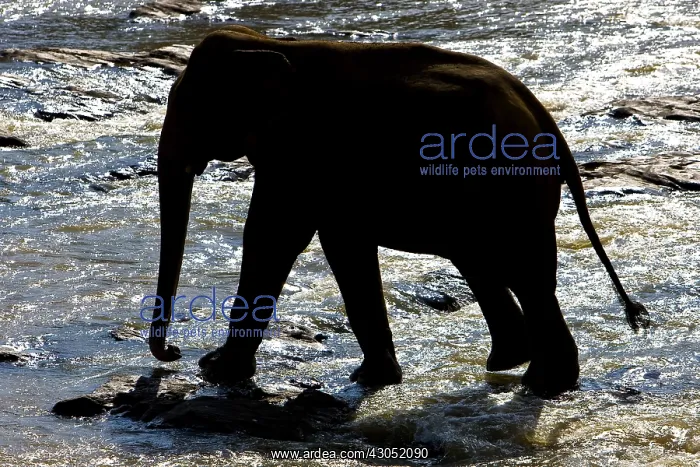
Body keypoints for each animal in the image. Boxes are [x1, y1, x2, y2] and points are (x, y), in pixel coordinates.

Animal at [147, 25, 650, 398]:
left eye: (188, 108)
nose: (173, 353)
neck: (273, 44)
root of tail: (544, 116)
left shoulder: (304, 152)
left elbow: (276, 236)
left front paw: (215, 372)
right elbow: (339, 242)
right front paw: (374, 379)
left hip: (508, 185)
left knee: (520, 269)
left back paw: (541, 384)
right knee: (491, 263)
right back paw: (516, 366)